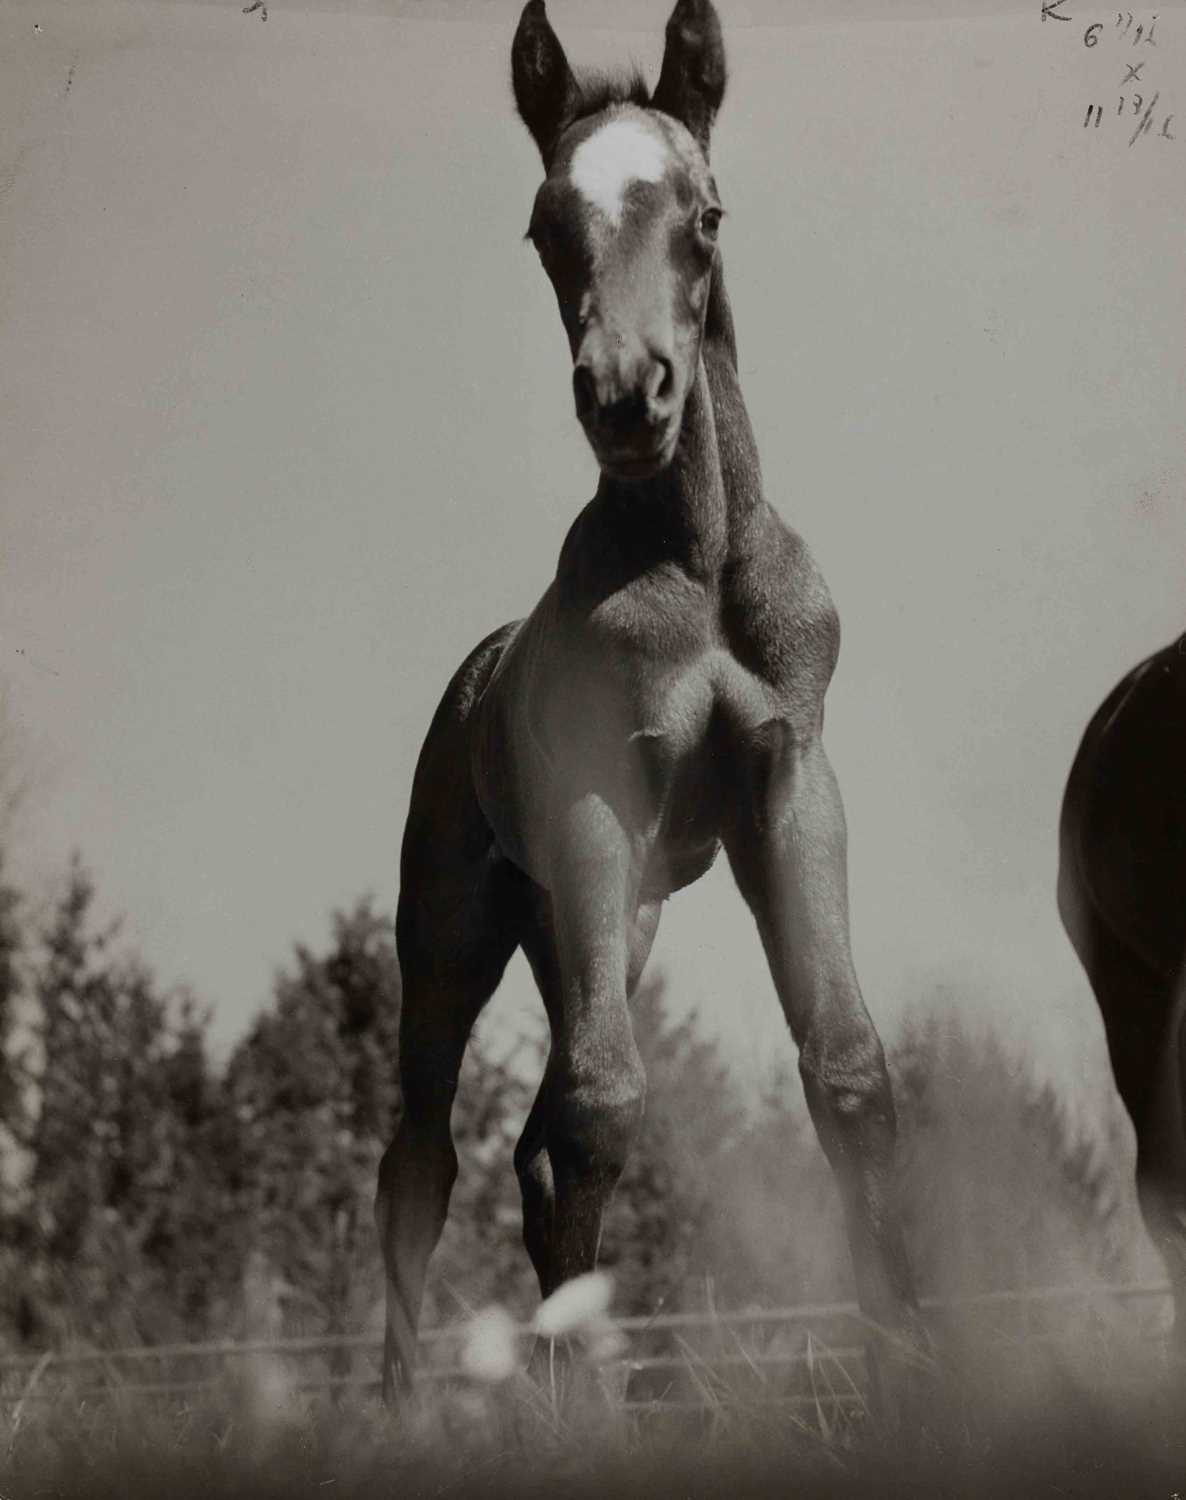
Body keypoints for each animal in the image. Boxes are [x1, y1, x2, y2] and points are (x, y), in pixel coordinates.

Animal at [376, 0, 923, 1404]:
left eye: (705, 213)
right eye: (543, 225)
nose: (629, 394)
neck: (701, 567)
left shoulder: (791, 781)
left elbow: (847, 1071)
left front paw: (914, 1367)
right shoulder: (595, 800)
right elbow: (606, 1106)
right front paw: (584, 1414)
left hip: (611, 922)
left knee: (525, 1141)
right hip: (457, 924)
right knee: (422, 1154)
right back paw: (397, 1407)